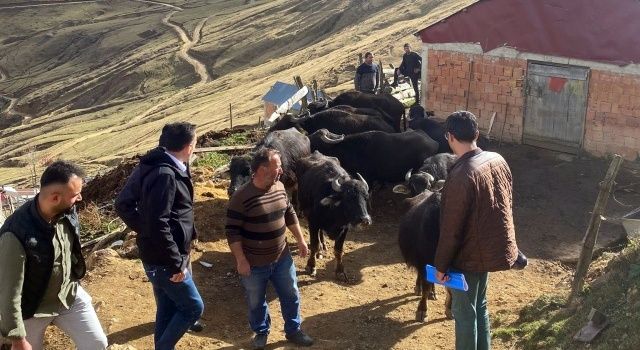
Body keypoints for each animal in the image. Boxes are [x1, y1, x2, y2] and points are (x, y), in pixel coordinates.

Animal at [298, 150, 372, 278]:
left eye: (366, 197)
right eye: (348, 198)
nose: (365, 220)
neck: (334, 215)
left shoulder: (344, 228)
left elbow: (338, 250)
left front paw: (340, 271)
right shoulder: (313, 222)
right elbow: (314, 245)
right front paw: (311, 266)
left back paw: (323, 247)